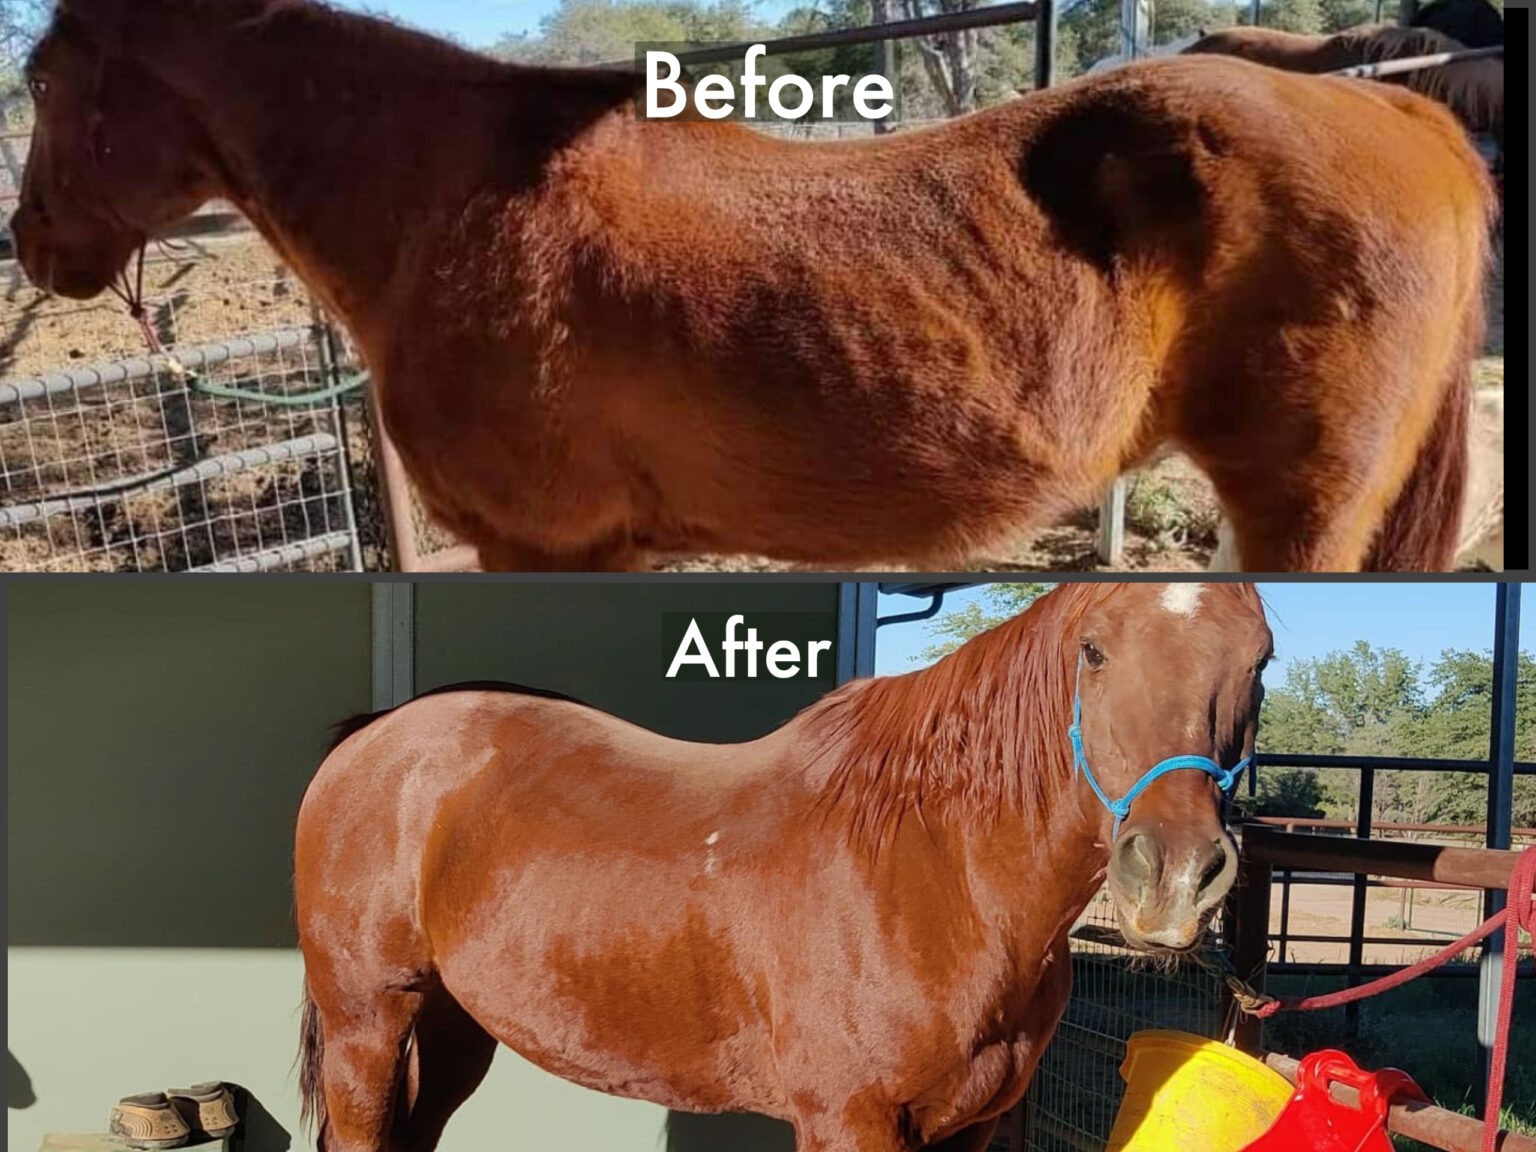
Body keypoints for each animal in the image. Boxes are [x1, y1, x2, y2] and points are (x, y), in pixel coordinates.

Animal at [14, 0, 1495, 572]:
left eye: (39, 73)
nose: (30, 245)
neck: (448, 207)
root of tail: (1402, 114)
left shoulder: (542, 544)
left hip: (1306, 508)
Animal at [293, 582, 1273, 1152]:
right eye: (1094, 651)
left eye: (1260, 664)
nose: (1173, 876)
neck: (936, 869)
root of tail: (375, 735)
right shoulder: (851, 1123)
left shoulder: (971, 1129)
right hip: (367, 1027)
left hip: (455, 1027)